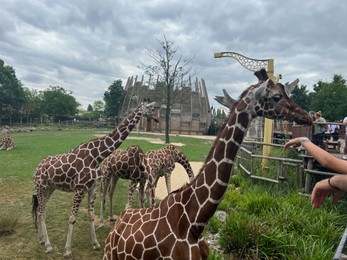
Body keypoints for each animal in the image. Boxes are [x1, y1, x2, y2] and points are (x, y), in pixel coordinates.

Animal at [31, 100, 159, 256]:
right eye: (150, 108)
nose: (157, 119)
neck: (97, 156)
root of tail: (37, 168)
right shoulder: (80, 188)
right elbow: (72, 218)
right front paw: (68, 250)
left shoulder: (93, 188)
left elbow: (91, 215)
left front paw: (96, 243)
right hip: (41, 186)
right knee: (42, 211)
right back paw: (48, 245)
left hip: (50, 188)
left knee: (40, 210)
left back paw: (42, 240)